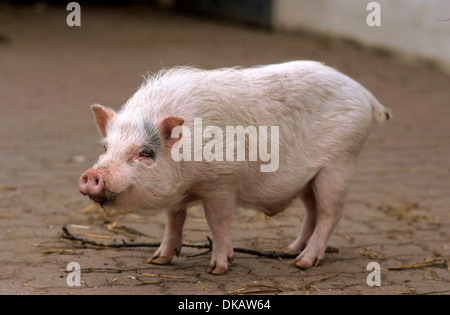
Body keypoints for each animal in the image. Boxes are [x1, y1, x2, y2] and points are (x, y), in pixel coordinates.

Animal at [77, 60, 390, 276]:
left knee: (330, 214)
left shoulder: (222, 181)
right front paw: (157, 260)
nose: (92, 174)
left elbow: (218, 222)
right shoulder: (179, 191)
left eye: (144, 153)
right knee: (312, 212)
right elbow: (174, 219)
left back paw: (303, 263)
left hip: (340, 163)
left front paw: (218, 268)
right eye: (105, 147)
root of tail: (363, 92)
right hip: (309, 178)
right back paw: (289, 251)